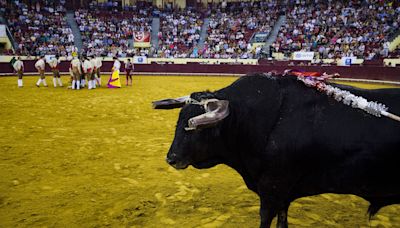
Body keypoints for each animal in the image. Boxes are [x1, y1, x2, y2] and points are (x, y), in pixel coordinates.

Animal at [152, 74, 398, 227]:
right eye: (178, 121)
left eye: (196, 129)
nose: (171, 158)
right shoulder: (283, 195)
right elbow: (283, 221)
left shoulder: (272, 189)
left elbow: (265, 219)